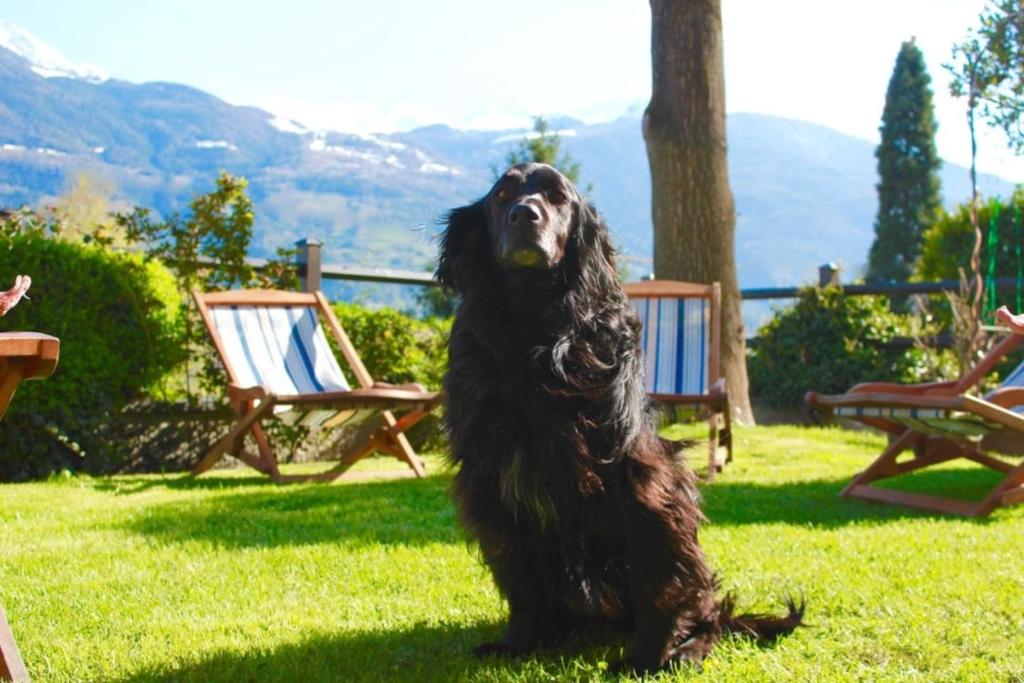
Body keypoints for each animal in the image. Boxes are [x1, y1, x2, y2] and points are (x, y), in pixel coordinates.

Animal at [432, 163, 798, 671]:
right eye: (502, 194)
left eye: (558, 197)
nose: (525, 215)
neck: (533, 329)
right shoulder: (496, 484)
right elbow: (521, 581)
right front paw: (515, 643)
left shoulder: (640, 480)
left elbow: (655, 581)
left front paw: (647, 657)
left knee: (704, 609)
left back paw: (690, 645)